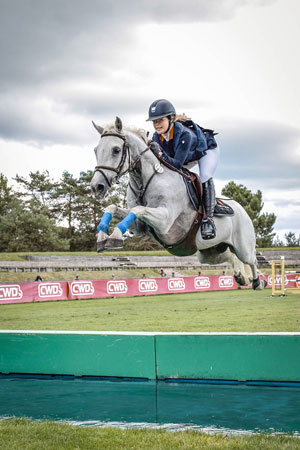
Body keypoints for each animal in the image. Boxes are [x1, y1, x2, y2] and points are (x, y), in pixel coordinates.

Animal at [89, 118, 264, 290]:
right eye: (96, 150)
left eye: (116, 150)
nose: (97, 187)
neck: (144, 181)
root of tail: (242, 209)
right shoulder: (140, 226)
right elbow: (114, 208)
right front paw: (102, 235)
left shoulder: (164, 221)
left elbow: (138, 209)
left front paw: (115, 236)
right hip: (209, 252)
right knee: (231, 256)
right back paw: (242, 277)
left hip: (243, 247)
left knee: (252, 260)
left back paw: (258, 282)